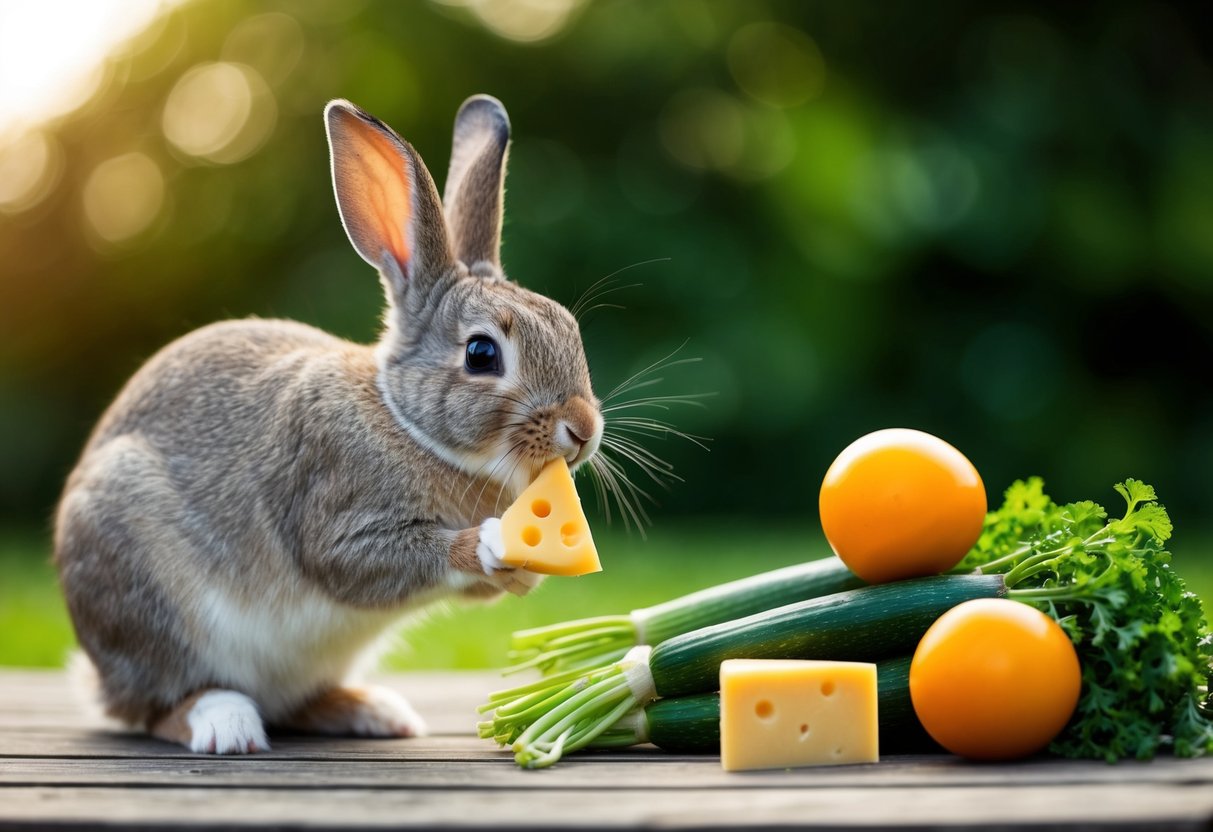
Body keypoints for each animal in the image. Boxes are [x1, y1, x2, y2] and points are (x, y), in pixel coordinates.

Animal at [52, 95, 603, 755]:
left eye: (570, 327)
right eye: (481, 354)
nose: (583, 429)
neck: (408, 425)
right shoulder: (335, 512)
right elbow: (366, 560)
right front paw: (490, 543)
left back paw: (372, 710)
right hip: (140, 588)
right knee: (153, 706)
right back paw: (225, 724)